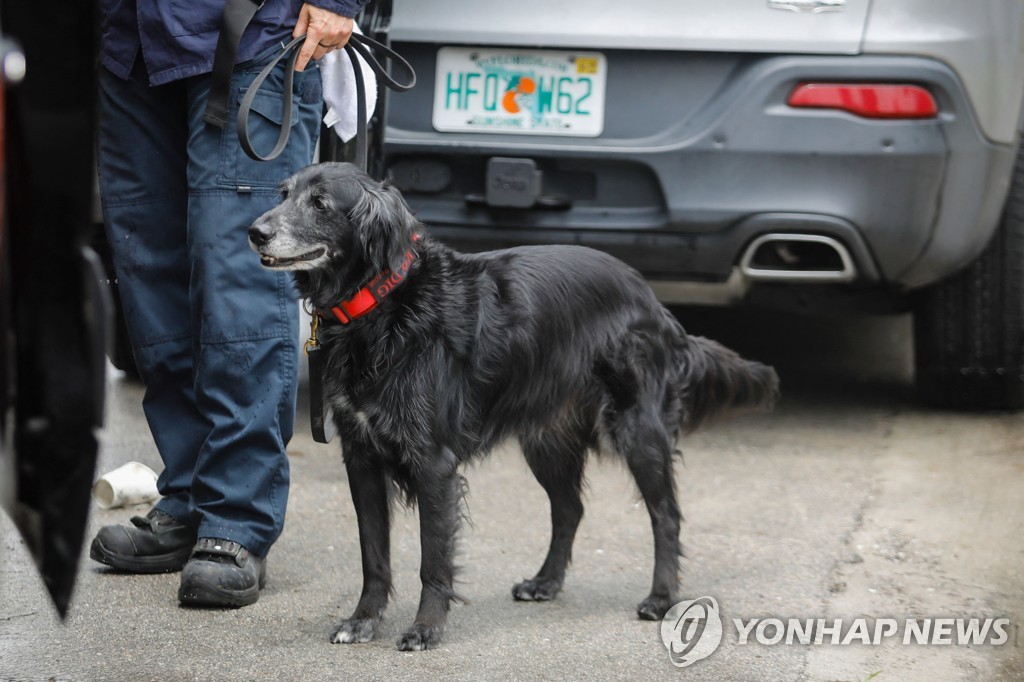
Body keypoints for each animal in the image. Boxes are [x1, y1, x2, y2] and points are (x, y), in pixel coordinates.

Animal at [247, 159, 774, 647]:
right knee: (569, 509)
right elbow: (373, 555)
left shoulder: (433, 462)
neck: (380, 307)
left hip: (637, 430)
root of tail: (653, 301)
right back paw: (546, 582)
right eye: (283, 193)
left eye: (320, 203)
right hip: (546, 440)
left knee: (665, 515)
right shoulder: (361, 457)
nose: (255, 232)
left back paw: (661, 598)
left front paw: (425, 628)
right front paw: (362, 621)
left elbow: (432, 559)